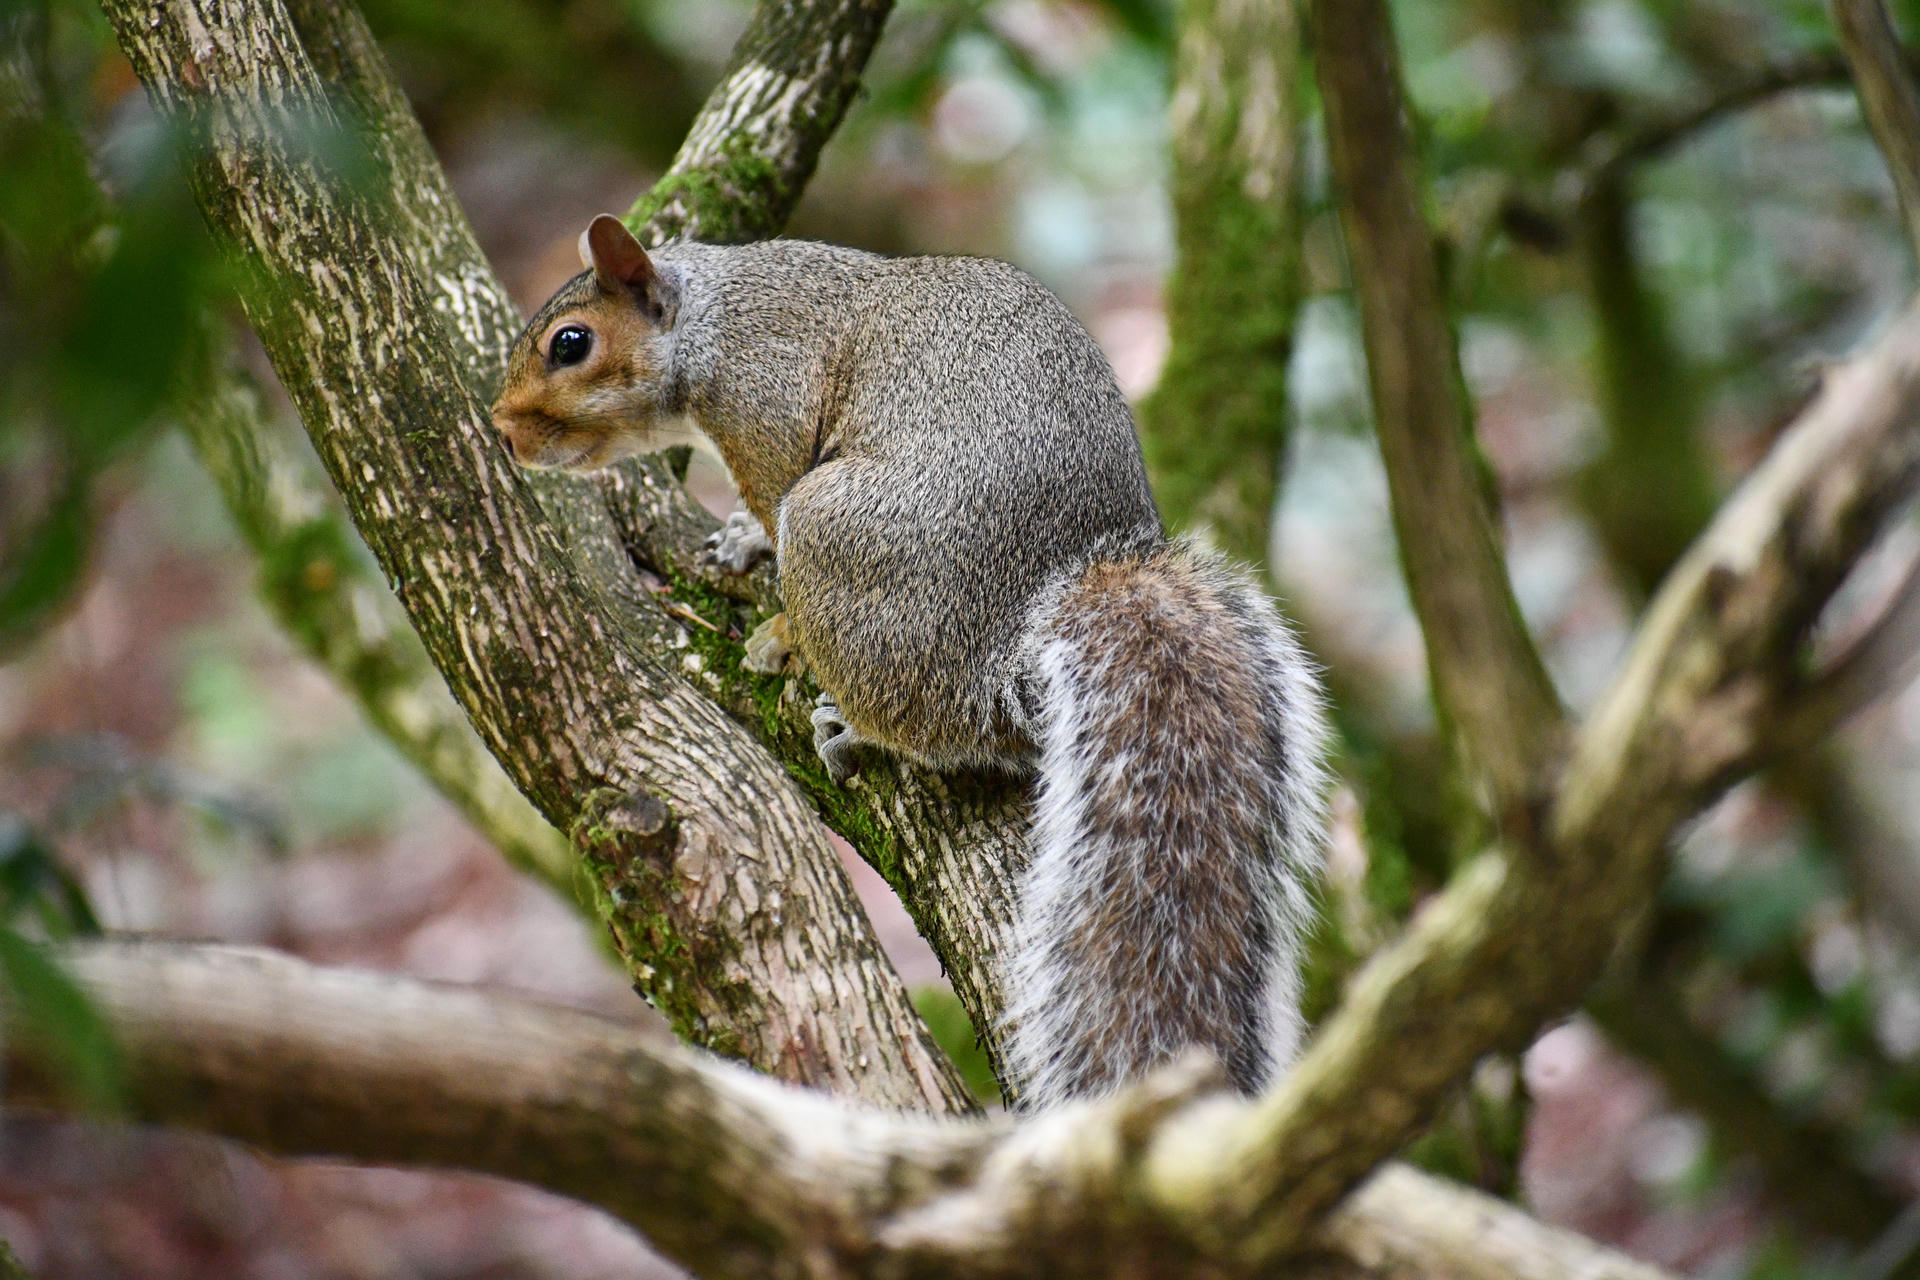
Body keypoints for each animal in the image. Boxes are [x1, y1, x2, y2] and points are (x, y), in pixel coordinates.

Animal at [491, 214, 1329, 1109]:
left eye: (571, 343)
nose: (502, 429)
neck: (710, 323)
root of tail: (1010, 650)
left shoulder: (769, 408)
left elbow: (773, 501)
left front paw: (778, 625)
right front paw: (743, 541)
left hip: (837, 534)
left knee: (927, 721)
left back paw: (850, 717)